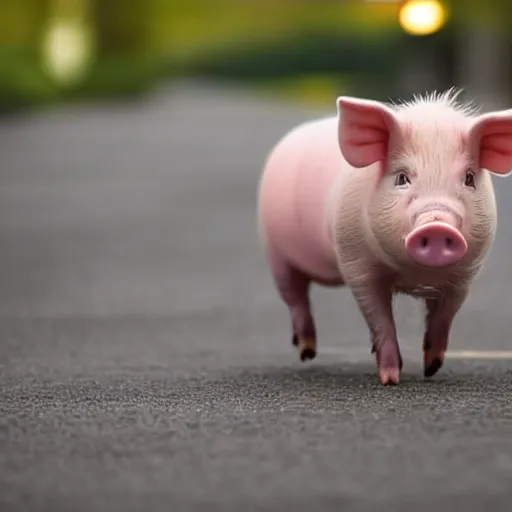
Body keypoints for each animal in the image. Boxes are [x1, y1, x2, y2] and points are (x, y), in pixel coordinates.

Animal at [258, 89, 512, 384]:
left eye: (469, 178)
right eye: (402, 178)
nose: (437, 225)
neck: (415, 276)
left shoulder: (465, 273)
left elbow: (444, 317)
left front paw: (431, 369)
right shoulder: (357, 264)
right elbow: (379, 319)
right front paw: (390, 379)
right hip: (274, 249)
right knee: (295, 296)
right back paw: (307, 353)